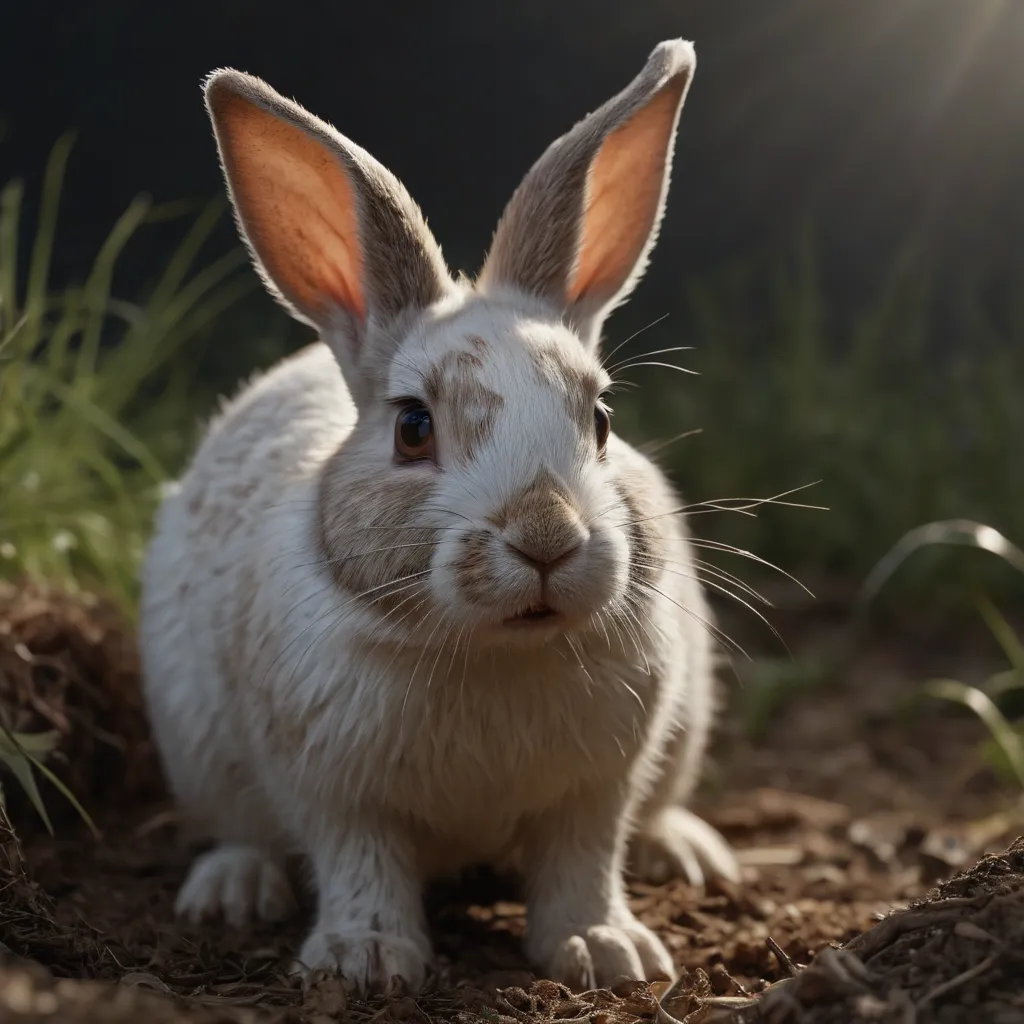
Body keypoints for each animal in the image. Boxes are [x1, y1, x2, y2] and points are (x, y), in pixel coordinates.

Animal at [139, 37, 740, 995]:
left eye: (601, 419)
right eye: (413, 428)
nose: (546, 538)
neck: (493, 652)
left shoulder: (598, 788)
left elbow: (584, 863)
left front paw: (606, 952)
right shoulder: (336, 792)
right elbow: (361, 863)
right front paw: (366, 959)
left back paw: (688, 852)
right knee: (239, 832)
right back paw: (232, 890)